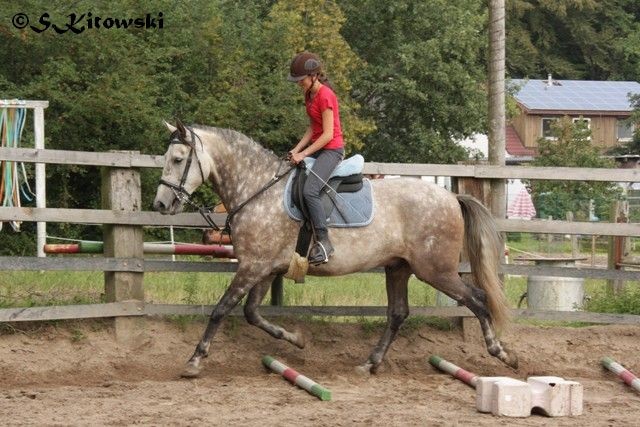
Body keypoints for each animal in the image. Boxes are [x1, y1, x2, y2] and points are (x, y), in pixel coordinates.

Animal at [152, 122, 516, 380]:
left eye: (178, 160)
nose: (161, 204)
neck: (258, 190)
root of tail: (451, 197)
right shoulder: (265, 267)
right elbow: (252, 314)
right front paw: (296, 340)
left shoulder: (252, 266)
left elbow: (221, 310)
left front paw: (194, 361)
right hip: (398, 267)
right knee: (398, 313)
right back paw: (370, 364)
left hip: (435, 270)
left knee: (477, 299)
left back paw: (503, 353)